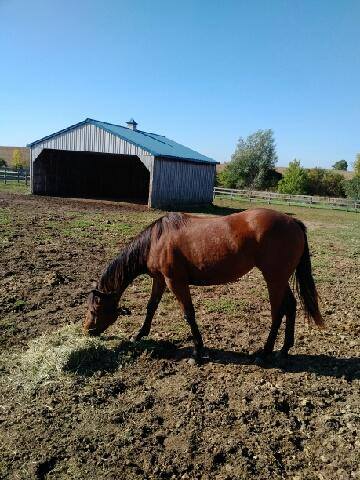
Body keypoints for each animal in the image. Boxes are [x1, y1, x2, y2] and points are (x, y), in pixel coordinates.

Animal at [84, 208, 324, 362]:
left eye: (95, 310)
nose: (88, 330)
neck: (156, 241)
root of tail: (294, 223)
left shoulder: (175, 282)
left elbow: (189, 314)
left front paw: (197, 351)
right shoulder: (160, 279)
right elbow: (151, 307)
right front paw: (139, 334)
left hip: (274, 279)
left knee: (278, 312)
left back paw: (264, 353)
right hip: (280, 279)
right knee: (291, 307)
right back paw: (284, 350)